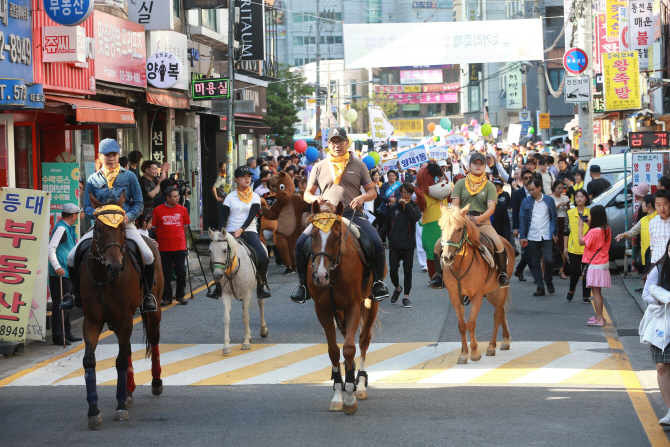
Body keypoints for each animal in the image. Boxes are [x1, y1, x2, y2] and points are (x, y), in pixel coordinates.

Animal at [81, 192, 164, 430]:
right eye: (99, 228)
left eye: (120, 228)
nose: (115, 266)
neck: (104, 278)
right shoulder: (91, 320)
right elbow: (90, 361)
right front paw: (93, 411)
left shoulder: (126, 318)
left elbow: (119, 361)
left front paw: (120, 408)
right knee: (126, 349)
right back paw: (128, 391)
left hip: (151, 311)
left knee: (154, 339)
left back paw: (156, 382)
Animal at [308, 203, 384, 416]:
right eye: (313, 235)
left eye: (336, 236)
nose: (320, 276)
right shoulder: (322, 310)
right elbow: (334, 351)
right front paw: (337, 395)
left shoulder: (354, 305)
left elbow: (350, 348)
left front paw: (349, 398)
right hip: (339, 312)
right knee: (344, 336)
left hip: (370, 302)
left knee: (363, 340)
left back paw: (361, 385)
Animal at [440, 205, 516, 366]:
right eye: (442, 228)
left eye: (458, 229)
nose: (447, 257)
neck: (460, 265)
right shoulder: (454, 296)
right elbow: (462, 325)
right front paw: (463, 354)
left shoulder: (477, 295)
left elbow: (471, 323)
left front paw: (474, 352)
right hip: (491, 292)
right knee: (501, 312)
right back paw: (505, 340)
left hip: (500, 290)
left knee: (497, 315)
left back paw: (492, 347)